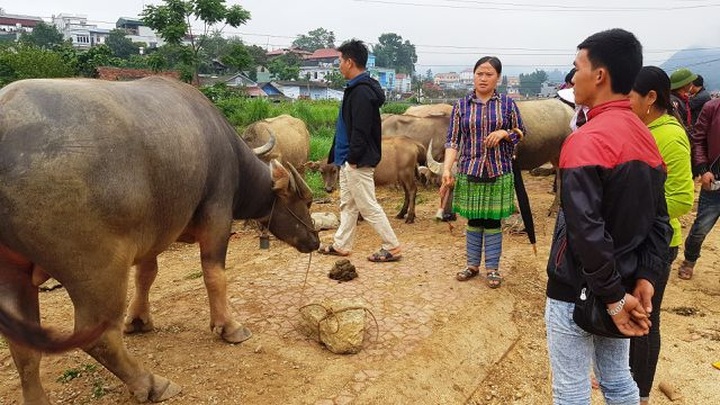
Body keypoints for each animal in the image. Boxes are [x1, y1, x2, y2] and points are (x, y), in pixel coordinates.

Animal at [0, 77, 319, 403]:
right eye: (305, 201)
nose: (314, 239)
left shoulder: (154, 232)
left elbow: (147, 274)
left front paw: (139, 320)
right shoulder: (217, 215)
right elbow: (215, 275)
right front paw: (229, 327)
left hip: (12, 274)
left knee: (23, 346)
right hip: (96, 270)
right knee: (98, 336)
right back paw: (152, 383)